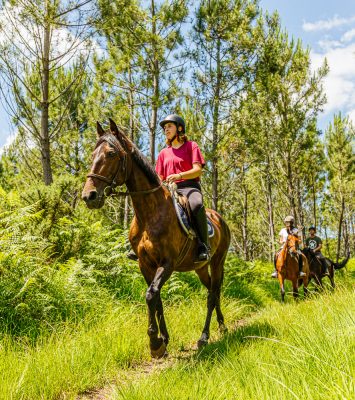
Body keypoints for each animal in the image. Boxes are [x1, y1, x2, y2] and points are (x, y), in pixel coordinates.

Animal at [81, 119, 231, 360]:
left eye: (111, 153)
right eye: (93, 153)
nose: (89, 196)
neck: (150, 213)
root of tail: (220, 219)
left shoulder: (167, 263)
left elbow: (151, 295)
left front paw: (155, 343)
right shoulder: (145, 264)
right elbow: (157, 298)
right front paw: (165, 340)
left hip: (217, 262)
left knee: (212, 294)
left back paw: (204, 336)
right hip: (200, 268)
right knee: (213, 292)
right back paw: (222, 326)